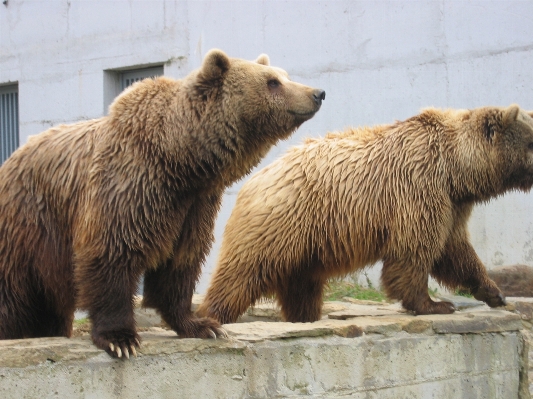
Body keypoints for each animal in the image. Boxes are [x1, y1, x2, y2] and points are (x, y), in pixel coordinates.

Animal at [0, 48, 324, 358]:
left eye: (284, 75)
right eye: (272, 81)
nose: (317, 93)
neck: (177, 160)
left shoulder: (193, 206)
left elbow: (181, 262)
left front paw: (201, 325)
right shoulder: (126, 186)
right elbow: (111, 252)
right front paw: (121, 338)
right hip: (27, 228)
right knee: (12, 298)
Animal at [197, 104, 532, 324]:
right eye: (531, 140)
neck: (455, 169)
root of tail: (252, 181)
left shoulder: (453, 203)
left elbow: (455, 251)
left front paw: (494, 293)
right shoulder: (419, 188)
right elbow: (414, 250)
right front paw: (435, 304)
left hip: (305, 246)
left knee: (301, 286)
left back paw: (304, 317)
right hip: (281, 222)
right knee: (243, 272)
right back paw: (213, 315)